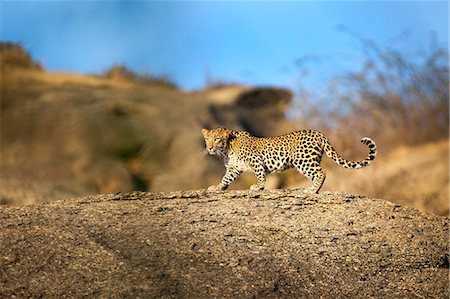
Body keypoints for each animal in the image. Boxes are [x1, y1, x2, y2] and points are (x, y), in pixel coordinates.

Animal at [201, 127, 376, 193]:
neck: (227, 149)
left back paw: (311, 190)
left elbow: (260, 174)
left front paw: (258, 187)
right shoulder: (233, 168)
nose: (209, 148)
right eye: (207, 139)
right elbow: (226, 178)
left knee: (321, 173)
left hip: (303, 160)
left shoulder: (255, 160)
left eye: (216, 139)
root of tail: (319, 133)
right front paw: (217, 187)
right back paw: (314, 189)